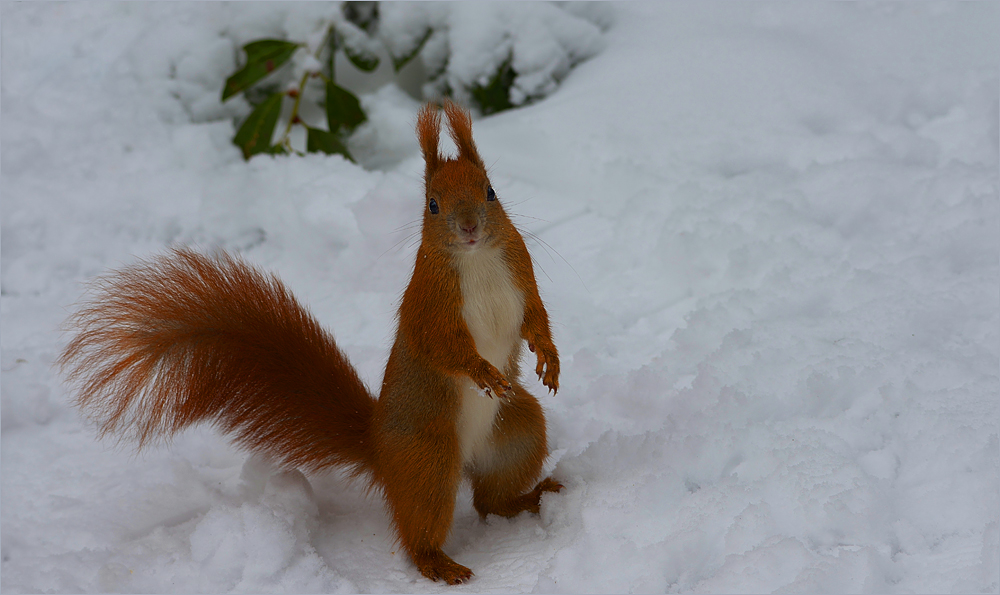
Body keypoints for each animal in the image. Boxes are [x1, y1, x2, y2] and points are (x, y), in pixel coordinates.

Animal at [58, 100, 564, 584]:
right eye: (432, 205)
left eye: (490, 191)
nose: (470, 227)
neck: (477, 259)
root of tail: (380, 446)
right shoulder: (429, 309)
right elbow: (443, 349)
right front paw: (483, 372)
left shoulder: (520, 272)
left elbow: (535, 319)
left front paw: (549, 359)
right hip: (429, 460)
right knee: (423, 524)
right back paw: (437, 562)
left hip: (517, 431)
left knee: (488, 500)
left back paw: (530, 497)